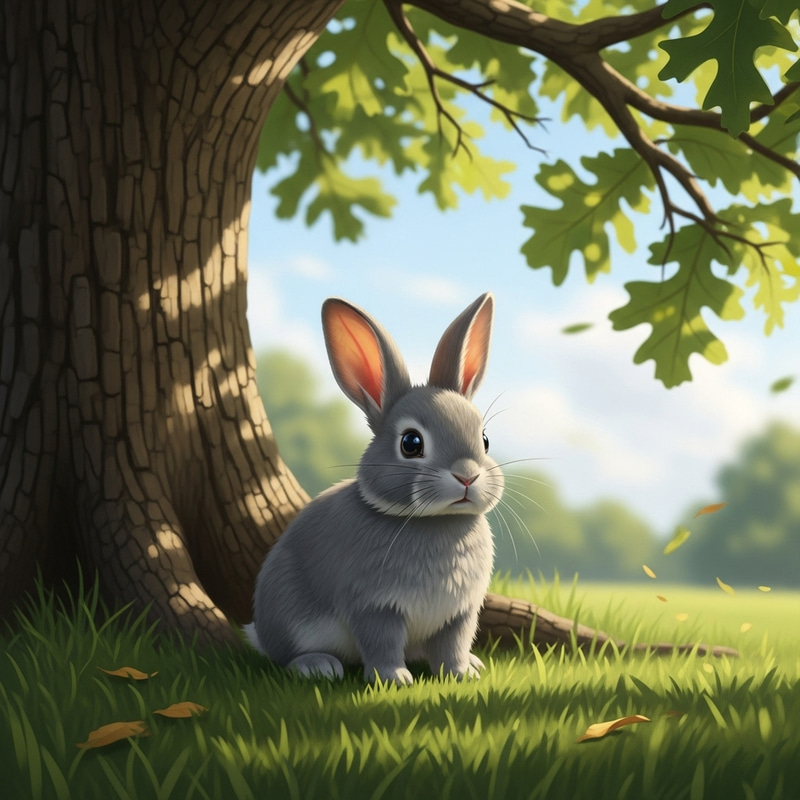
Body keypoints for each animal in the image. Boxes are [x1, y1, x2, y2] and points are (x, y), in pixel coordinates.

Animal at [244, 292, 503, 685]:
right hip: (291, 616)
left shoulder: (459, 613)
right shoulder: (374, 605)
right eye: (411, 443)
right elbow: (382, 641)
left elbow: (453, 645)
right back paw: (318, 666)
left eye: (485, 440)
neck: (434, 522)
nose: (467, 476)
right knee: (286, 656)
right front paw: (394, 678)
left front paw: (461, 674)